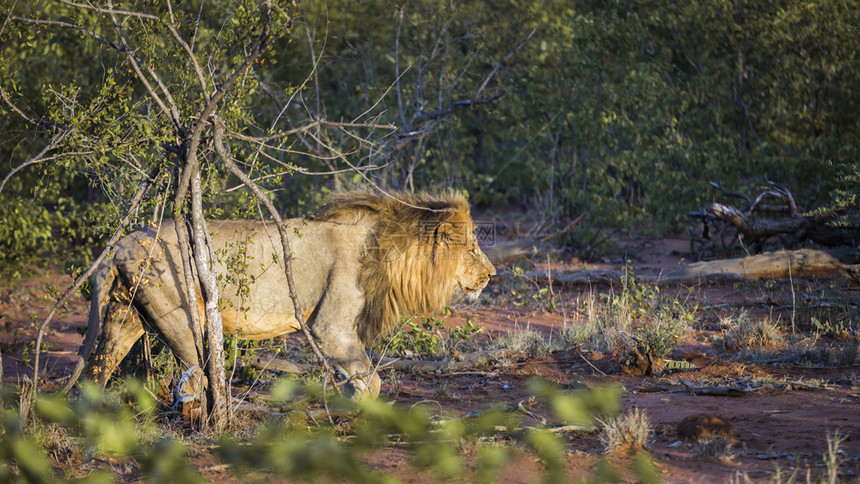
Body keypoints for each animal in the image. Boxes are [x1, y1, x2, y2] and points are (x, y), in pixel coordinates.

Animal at [63, 192, 498, 398]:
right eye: (473, 248)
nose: (492, 275)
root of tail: (121, 243)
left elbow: (352, 381)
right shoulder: (330, 327)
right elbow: (370, 382)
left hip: (126, 316)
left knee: (96, 373)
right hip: (182, 316)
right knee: (192, 379)